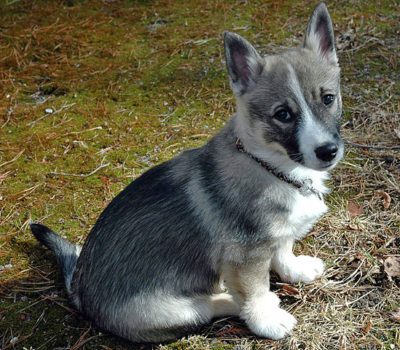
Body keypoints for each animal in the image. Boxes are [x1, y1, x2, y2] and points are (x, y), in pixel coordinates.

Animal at [31, 2, 344, 342]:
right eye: (283, 114)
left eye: (328, 98)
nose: (328, 151)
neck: (273, 165)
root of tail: (78, 292)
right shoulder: (246, 256)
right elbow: (255, 291)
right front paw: (268, 320)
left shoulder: (274, 235)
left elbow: (284, 249)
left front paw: (296, 270)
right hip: (172, 309)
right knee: (210, 305)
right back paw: (232, 298)